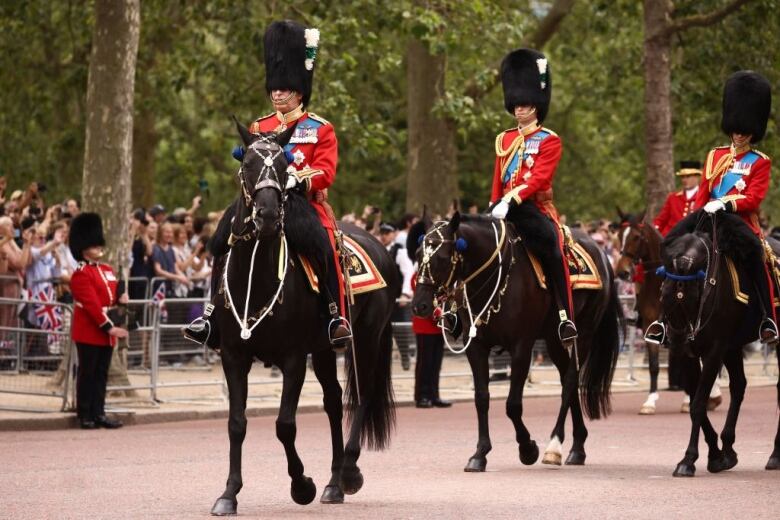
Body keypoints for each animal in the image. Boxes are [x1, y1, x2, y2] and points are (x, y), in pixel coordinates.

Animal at [207, 122, 396, 516]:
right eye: (247, 164)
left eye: (283, 166)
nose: (266, 216)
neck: (257, 277)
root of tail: (379, 245)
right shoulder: (234, 356)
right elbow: (236, 423)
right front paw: (229, 493)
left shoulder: (293, 359)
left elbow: (285, 425)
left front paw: (301, 485)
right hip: (323, 348)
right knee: (333, 401)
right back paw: (334, 482)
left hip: (365, 339)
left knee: (362, 395)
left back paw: (349, 471)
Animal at [408, 213, 620, 474]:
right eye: (418, 254)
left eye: (442, 257)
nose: (419, 305)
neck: (495, 279)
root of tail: (600, 251)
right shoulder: (476, 347)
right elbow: (481, 398)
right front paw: (480, 454)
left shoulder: (521, 347)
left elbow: (512, 405)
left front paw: (528, 448)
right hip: (553, 340)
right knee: (566, 380)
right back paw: (577, 447)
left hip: (585, 333)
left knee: (571, 381)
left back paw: (554, 446)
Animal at [660, 211, 780, 476]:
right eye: (663, 294)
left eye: (691, 294)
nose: (679, 338)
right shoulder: (691, 354)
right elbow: (697, 403)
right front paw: (716, 455)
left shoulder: (714, 350)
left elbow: (698, 403)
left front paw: (688, 459)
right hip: (733, 347)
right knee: (739, 386)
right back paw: (729, 447)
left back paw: (775, 454)